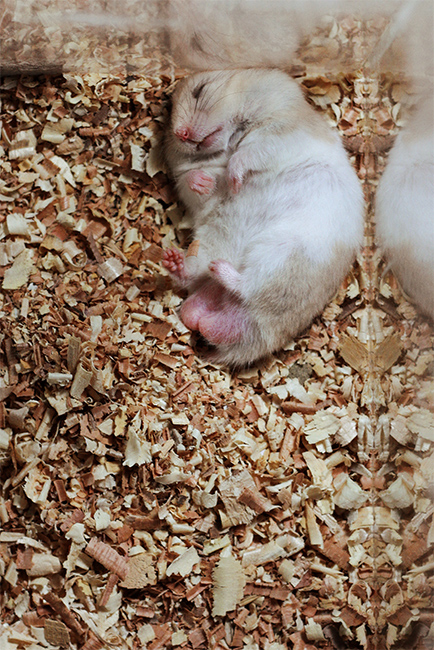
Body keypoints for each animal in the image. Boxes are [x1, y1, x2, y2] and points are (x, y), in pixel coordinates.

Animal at [162, 71, 362, 368]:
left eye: (199, 91)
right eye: (170, 111)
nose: (180, 134)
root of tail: (261, 330)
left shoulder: (282, 133)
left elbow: (249, 154)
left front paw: (234, 179)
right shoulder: (197, 189)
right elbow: (196, 183)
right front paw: (205, 180)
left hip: (282, 252)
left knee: (249, 287)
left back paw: (220, 270)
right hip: (215, 242)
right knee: (195, 278)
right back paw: (174, 262)